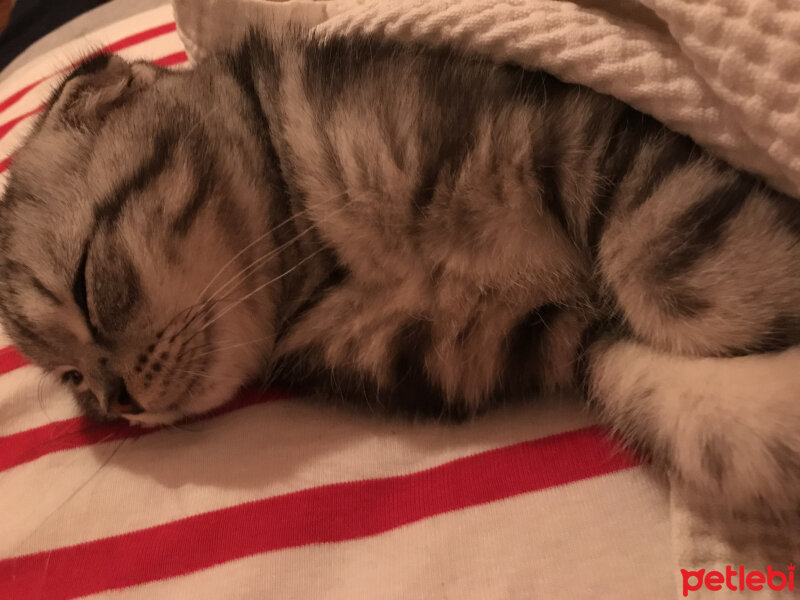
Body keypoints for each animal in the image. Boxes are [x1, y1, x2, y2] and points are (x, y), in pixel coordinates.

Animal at [1, 28, 800, 512]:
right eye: (73, 381)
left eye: (85, 284)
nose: (119, 401)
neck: (326, 262)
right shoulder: (516, 338)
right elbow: (686, 412)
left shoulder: (579, 133)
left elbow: (683, 281)